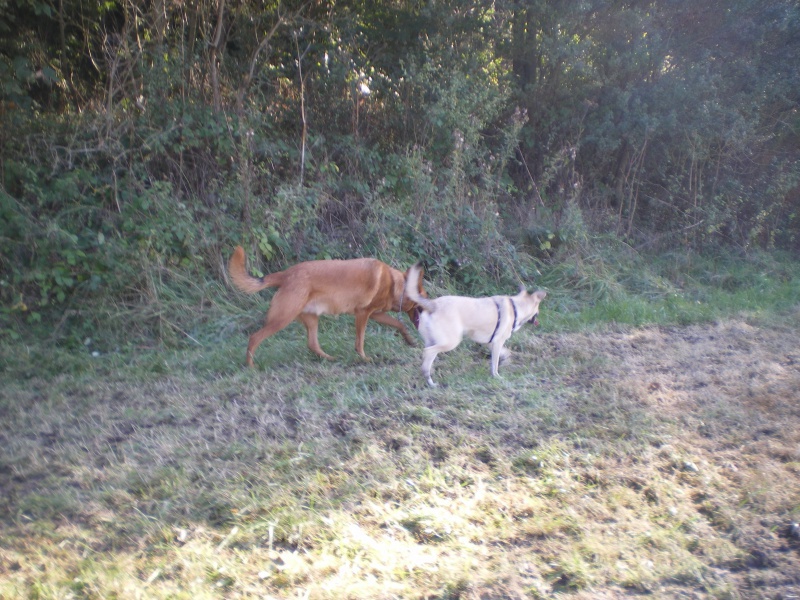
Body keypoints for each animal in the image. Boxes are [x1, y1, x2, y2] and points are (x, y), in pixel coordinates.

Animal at [227, 246, 424, 368]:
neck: (395, 284)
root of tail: (286, 274)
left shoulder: (375, 314)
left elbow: (400, 324)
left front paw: (409, 341)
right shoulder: (362, 314)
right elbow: (359, 342)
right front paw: (364, 358)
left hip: (311, 320)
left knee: (312, 344)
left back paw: (331, 358)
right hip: (282, 319)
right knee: (254, 338)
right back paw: (251, 366)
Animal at [404, 264, 548, 386]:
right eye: (537, 310)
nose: (538, 317)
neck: (516, 306)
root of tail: (433, 305)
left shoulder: (490, 343)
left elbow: (505, 352)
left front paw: (506, 360)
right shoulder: (497, 343)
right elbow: (495, 363)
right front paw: (497, 376)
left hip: (432, 340)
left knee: (428, 356)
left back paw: (428, 376)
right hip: (451, 342)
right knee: (428, 352)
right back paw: (429, 379)